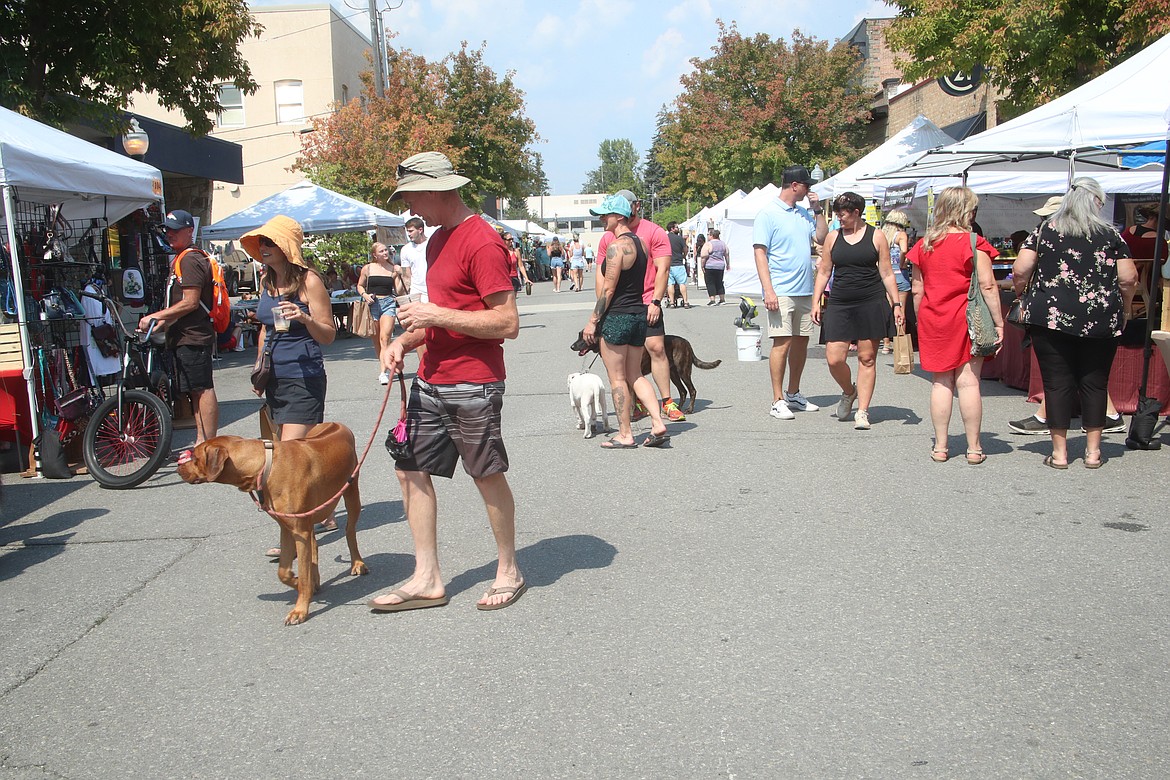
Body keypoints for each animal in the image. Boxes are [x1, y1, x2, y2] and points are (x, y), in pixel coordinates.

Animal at [175, 423, 367, 626]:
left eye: (194, 457)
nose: (178, 469)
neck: (265, 466)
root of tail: (338, 425)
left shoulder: (299, 530)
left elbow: (301, 574)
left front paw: (300, 609)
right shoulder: (288, 528)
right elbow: (283, 572)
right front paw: (300, 582)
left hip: (352, 494)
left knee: (349, 531)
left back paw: (357, 563)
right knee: (314, 545)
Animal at [568, 332, 720, 413]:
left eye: (583, 337)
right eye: (578, 335)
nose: (572, 346)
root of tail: (686, 342)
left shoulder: (630, 380)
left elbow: (631, 400)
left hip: (683, 371)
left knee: (692, 390)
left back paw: (689, 409)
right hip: (672, 374)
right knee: (683, 391)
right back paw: (676, 409)